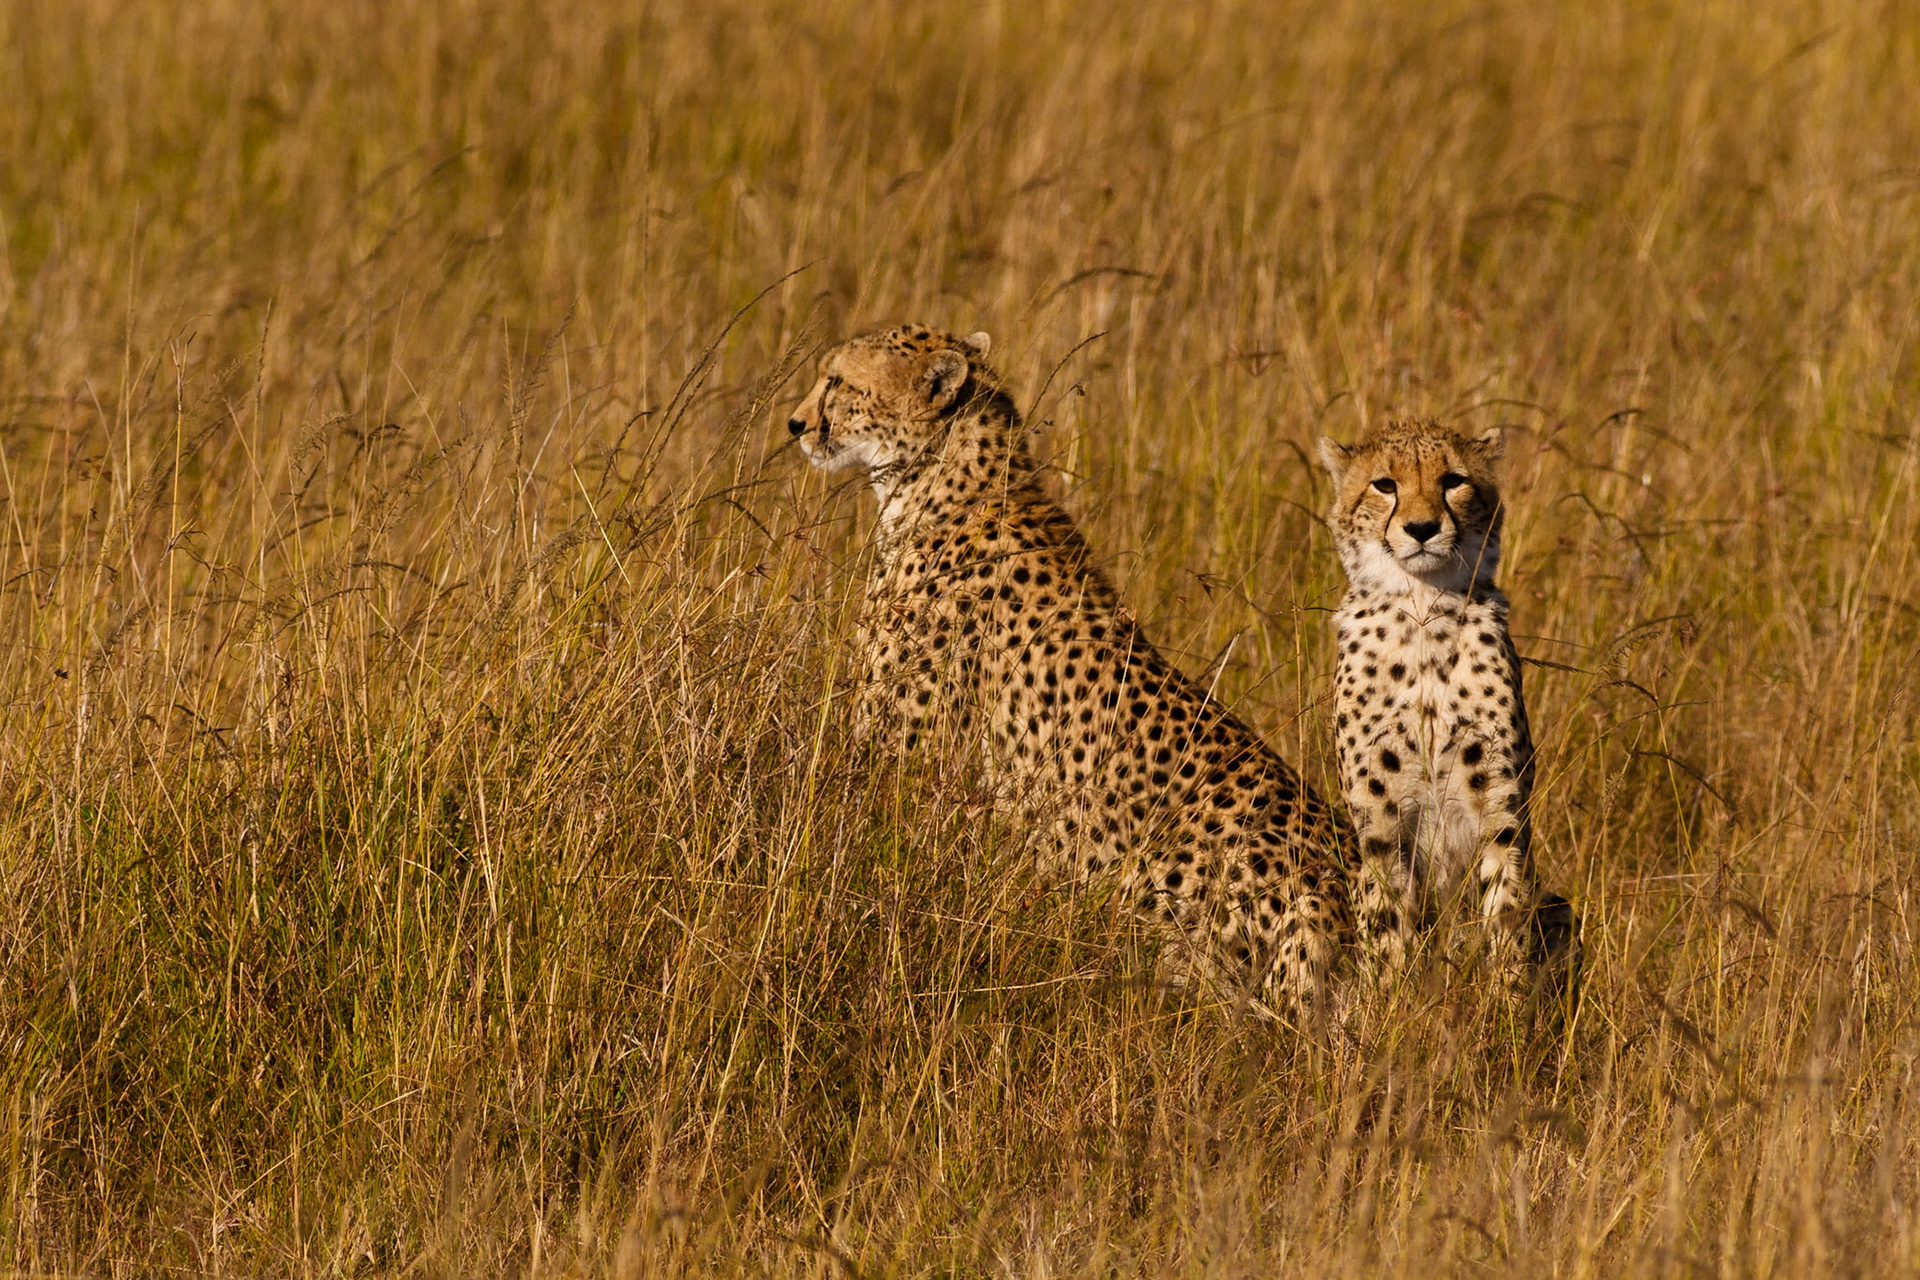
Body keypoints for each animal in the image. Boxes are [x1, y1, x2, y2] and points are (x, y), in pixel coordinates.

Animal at [1317, 420, 1578, 1009]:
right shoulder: (1380, 821)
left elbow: (1503, 911)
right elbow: (1388, 927)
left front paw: (1504, 1011)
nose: (1420, 528)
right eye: (1384, 484)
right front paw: (1390, 1010)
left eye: (1453, 481)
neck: (1422, 607)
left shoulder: (1500, 809)